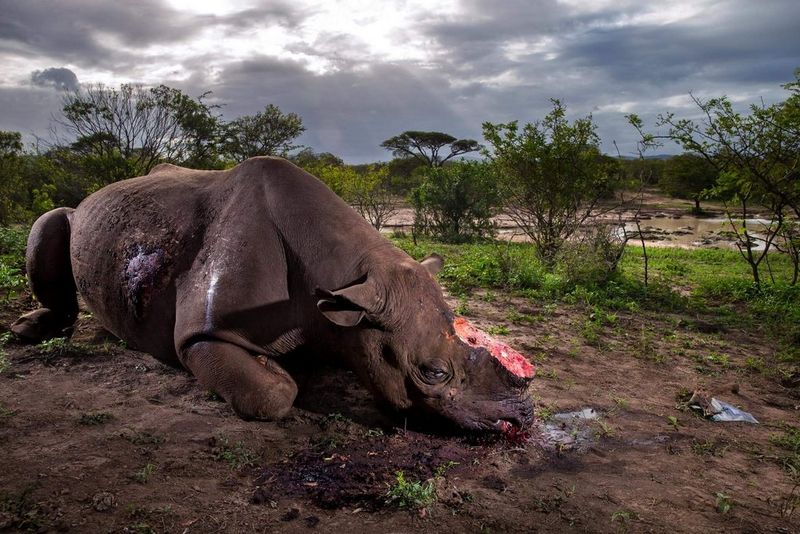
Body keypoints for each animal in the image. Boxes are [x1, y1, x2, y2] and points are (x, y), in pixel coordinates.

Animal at [12, 157, 535, 432]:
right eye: (432, 373)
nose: (521, 419)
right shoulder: (203, 334)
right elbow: (272, 393)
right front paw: (283, 374)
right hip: (80, 217)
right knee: (51, 221)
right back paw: (29, 330)